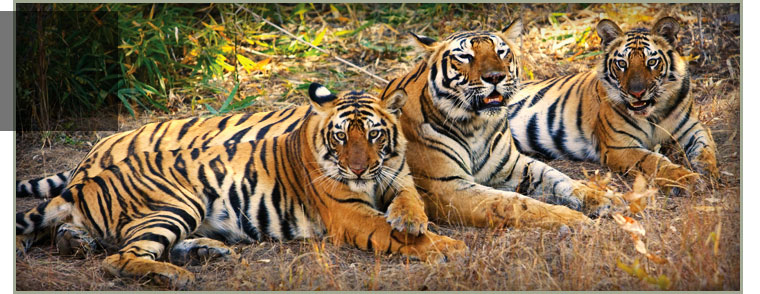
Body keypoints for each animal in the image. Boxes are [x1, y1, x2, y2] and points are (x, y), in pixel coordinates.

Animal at [17, 84, 466, 288]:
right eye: (341, 137)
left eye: (373, 135)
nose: (357, 170)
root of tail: (87, 178)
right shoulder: (349, 213)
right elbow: (389, 232)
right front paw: (448, 247)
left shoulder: (398, 178)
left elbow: (410, 203)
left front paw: (411, 221)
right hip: (177, 204)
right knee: (118, 258)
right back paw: (177, 275)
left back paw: (207, 252)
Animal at [378, 20, 616, 230]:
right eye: (465, 57)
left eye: (501, 52)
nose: (495, 77)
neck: (476, 127)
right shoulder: (446, 186)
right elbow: (513, 202)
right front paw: (573, 218)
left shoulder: (512, 164)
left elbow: (558, 178)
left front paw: (604, 197)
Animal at [504, 17, 720, 193]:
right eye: (622, 64)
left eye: (651, 62)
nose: (637, 92)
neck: (654, 113)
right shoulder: (620, 146)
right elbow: (654, 161)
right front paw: (685, 179)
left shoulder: (692, 128)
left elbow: (705, 148)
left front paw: (708, 172)